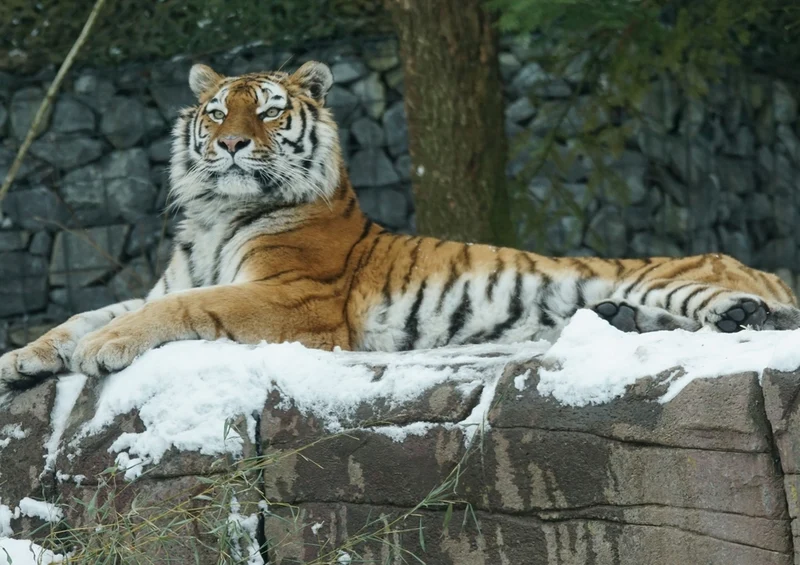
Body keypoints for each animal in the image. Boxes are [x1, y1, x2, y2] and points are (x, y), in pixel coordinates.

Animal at [1, 60, 799, 395]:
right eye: (217, 111)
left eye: (268, 111)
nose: (228, 145)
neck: (213, 214)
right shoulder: (168, 280)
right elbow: (86, 310)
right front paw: (22, 358)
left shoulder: (294, 298)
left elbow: (182, 308)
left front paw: (102, 349)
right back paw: (618, 320)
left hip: (680, 279)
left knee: (758, 313)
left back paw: (740, 314)